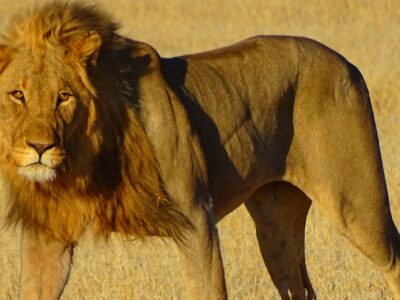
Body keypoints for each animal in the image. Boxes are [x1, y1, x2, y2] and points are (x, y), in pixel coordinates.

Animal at [0, 2, 400, 300]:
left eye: (64, 96)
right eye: (17, 94)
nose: (40, 147)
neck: (83, 159)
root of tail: (345, 63)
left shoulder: (196, 218)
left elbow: (207, 288)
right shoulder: (47, 235)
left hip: (356, 204)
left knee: (392, 259)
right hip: (276, 226)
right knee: (298, 287)